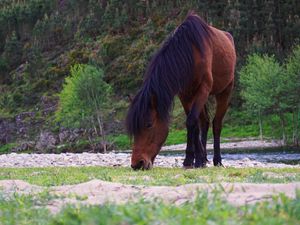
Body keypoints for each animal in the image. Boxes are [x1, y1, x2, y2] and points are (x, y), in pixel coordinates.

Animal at [125, 12, 236, 171]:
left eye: (149, 124)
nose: (137, 164)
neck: (190, 53)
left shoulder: (203, 89)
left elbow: (191, 122)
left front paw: (193, 160)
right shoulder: (185, 95)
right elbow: (193, 124)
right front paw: (195, 159)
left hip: (224, 92)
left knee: (216, 124)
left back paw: (217, 160)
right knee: (204, 122)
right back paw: (204, 158)